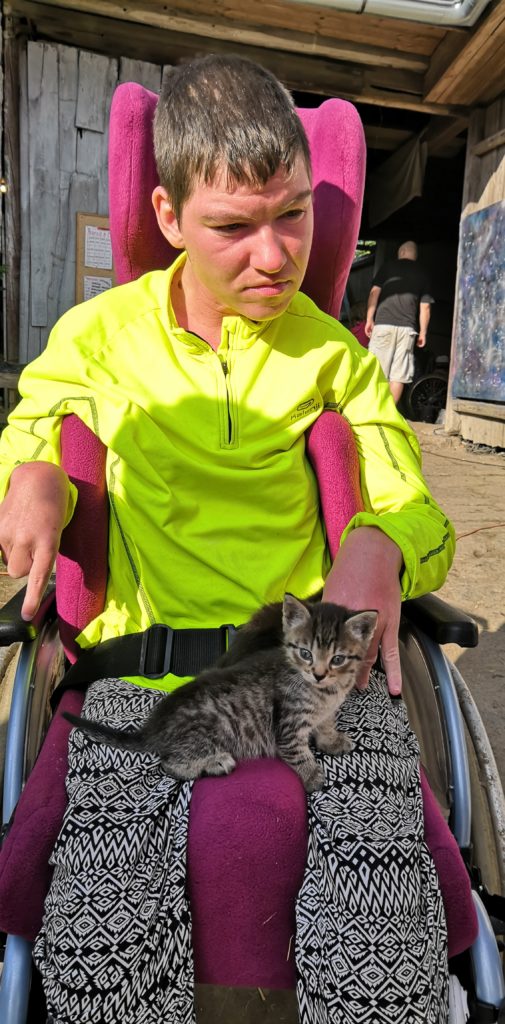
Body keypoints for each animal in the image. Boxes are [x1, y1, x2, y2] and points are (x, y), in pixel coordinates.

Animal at [63, 594, 377, 793]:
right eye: (305, 653)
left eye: (337, 659)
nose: (319, 674)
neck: (325, 692)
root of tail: (154, 727)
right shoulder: (288, 723)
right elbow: (297, 751)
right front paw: (311, 775)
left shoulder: (326, 710)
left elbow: (326, 725)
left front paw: (332, 740)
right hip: (213, 730)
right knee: (169, 763)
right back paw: (214, 763)